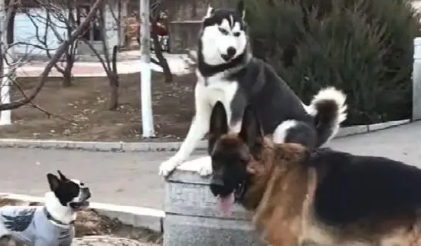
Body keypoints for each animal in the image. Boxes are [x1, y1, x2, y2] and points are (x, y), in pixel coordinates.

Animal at [158, 0, 344, 177]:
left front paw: (207, 165)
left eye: (237, 33)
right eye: (223, 30)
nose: (232, 50)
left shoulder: (235, 113)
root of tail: (317, 134)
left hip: (287, 126)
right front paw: (172, 162)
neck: (217, 70)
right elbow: (187, 143)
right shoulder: (204, 113)